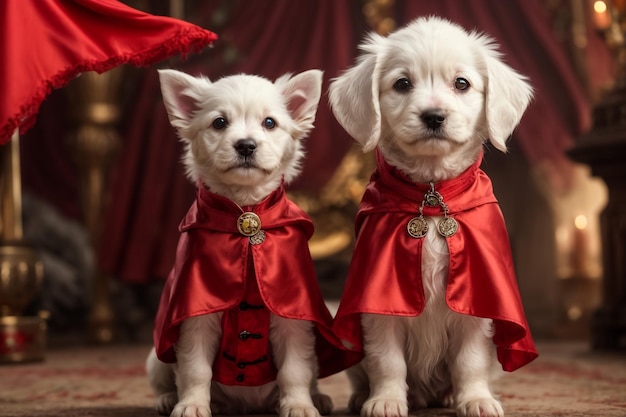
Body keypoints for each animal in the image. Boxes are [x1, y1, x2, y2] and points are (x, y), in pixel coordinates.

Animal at [143, 70, 354, 416]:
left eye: (269, 123)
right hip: (156, 358)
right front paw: (192, 405)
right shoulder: (196, 319)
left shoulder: (292, 319)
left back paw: (318, 397)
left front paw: (299, 405)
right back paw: (169, 399)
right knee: (163, 378)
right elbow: (195, 370)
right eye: (219, 123)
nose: (245, 145)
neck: (245, 211)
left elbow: (294, 370)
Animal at [330, 15, 540, 416]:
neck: (430, 200)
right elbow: (387, 361)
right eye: (402, 83)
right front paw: (386, 400)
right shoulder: (379, 305)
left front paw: (475, 399)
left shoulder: (477, 303)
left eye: (462, 83)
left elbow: (469, 361)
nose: (433, 117)